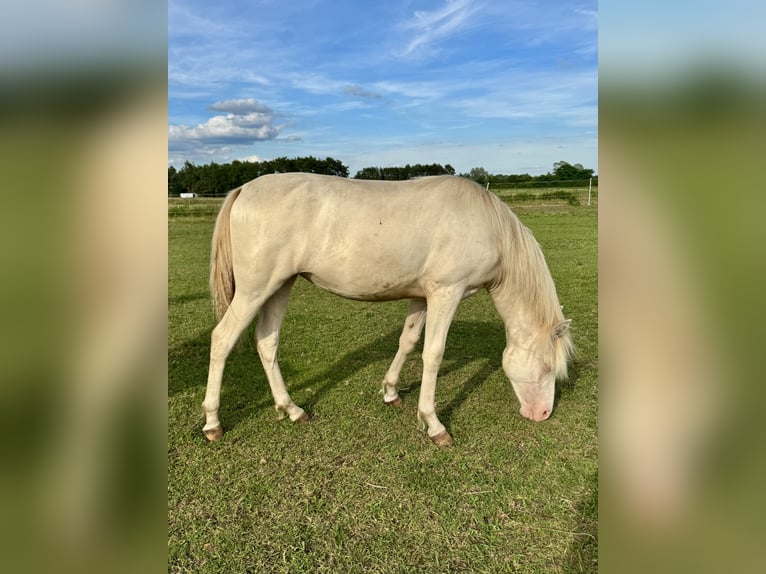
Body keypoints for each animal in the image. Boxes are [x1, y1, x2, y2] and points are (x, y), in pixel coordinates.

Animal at [202, 173, 572, 446]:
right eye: (545, 367)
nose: (543, 414)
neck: (488, 226)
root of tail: (244, 190)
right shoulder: (446, 293)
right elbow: (433, 354)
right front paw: (433, 424)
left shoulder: (422, 297)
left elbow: (408, 342)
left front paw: (391, 392)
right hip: (254, 290)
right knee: (222, 339)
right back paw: (212, 422)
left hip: (280, 285)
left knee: (266, 342)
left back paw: (291, 408)